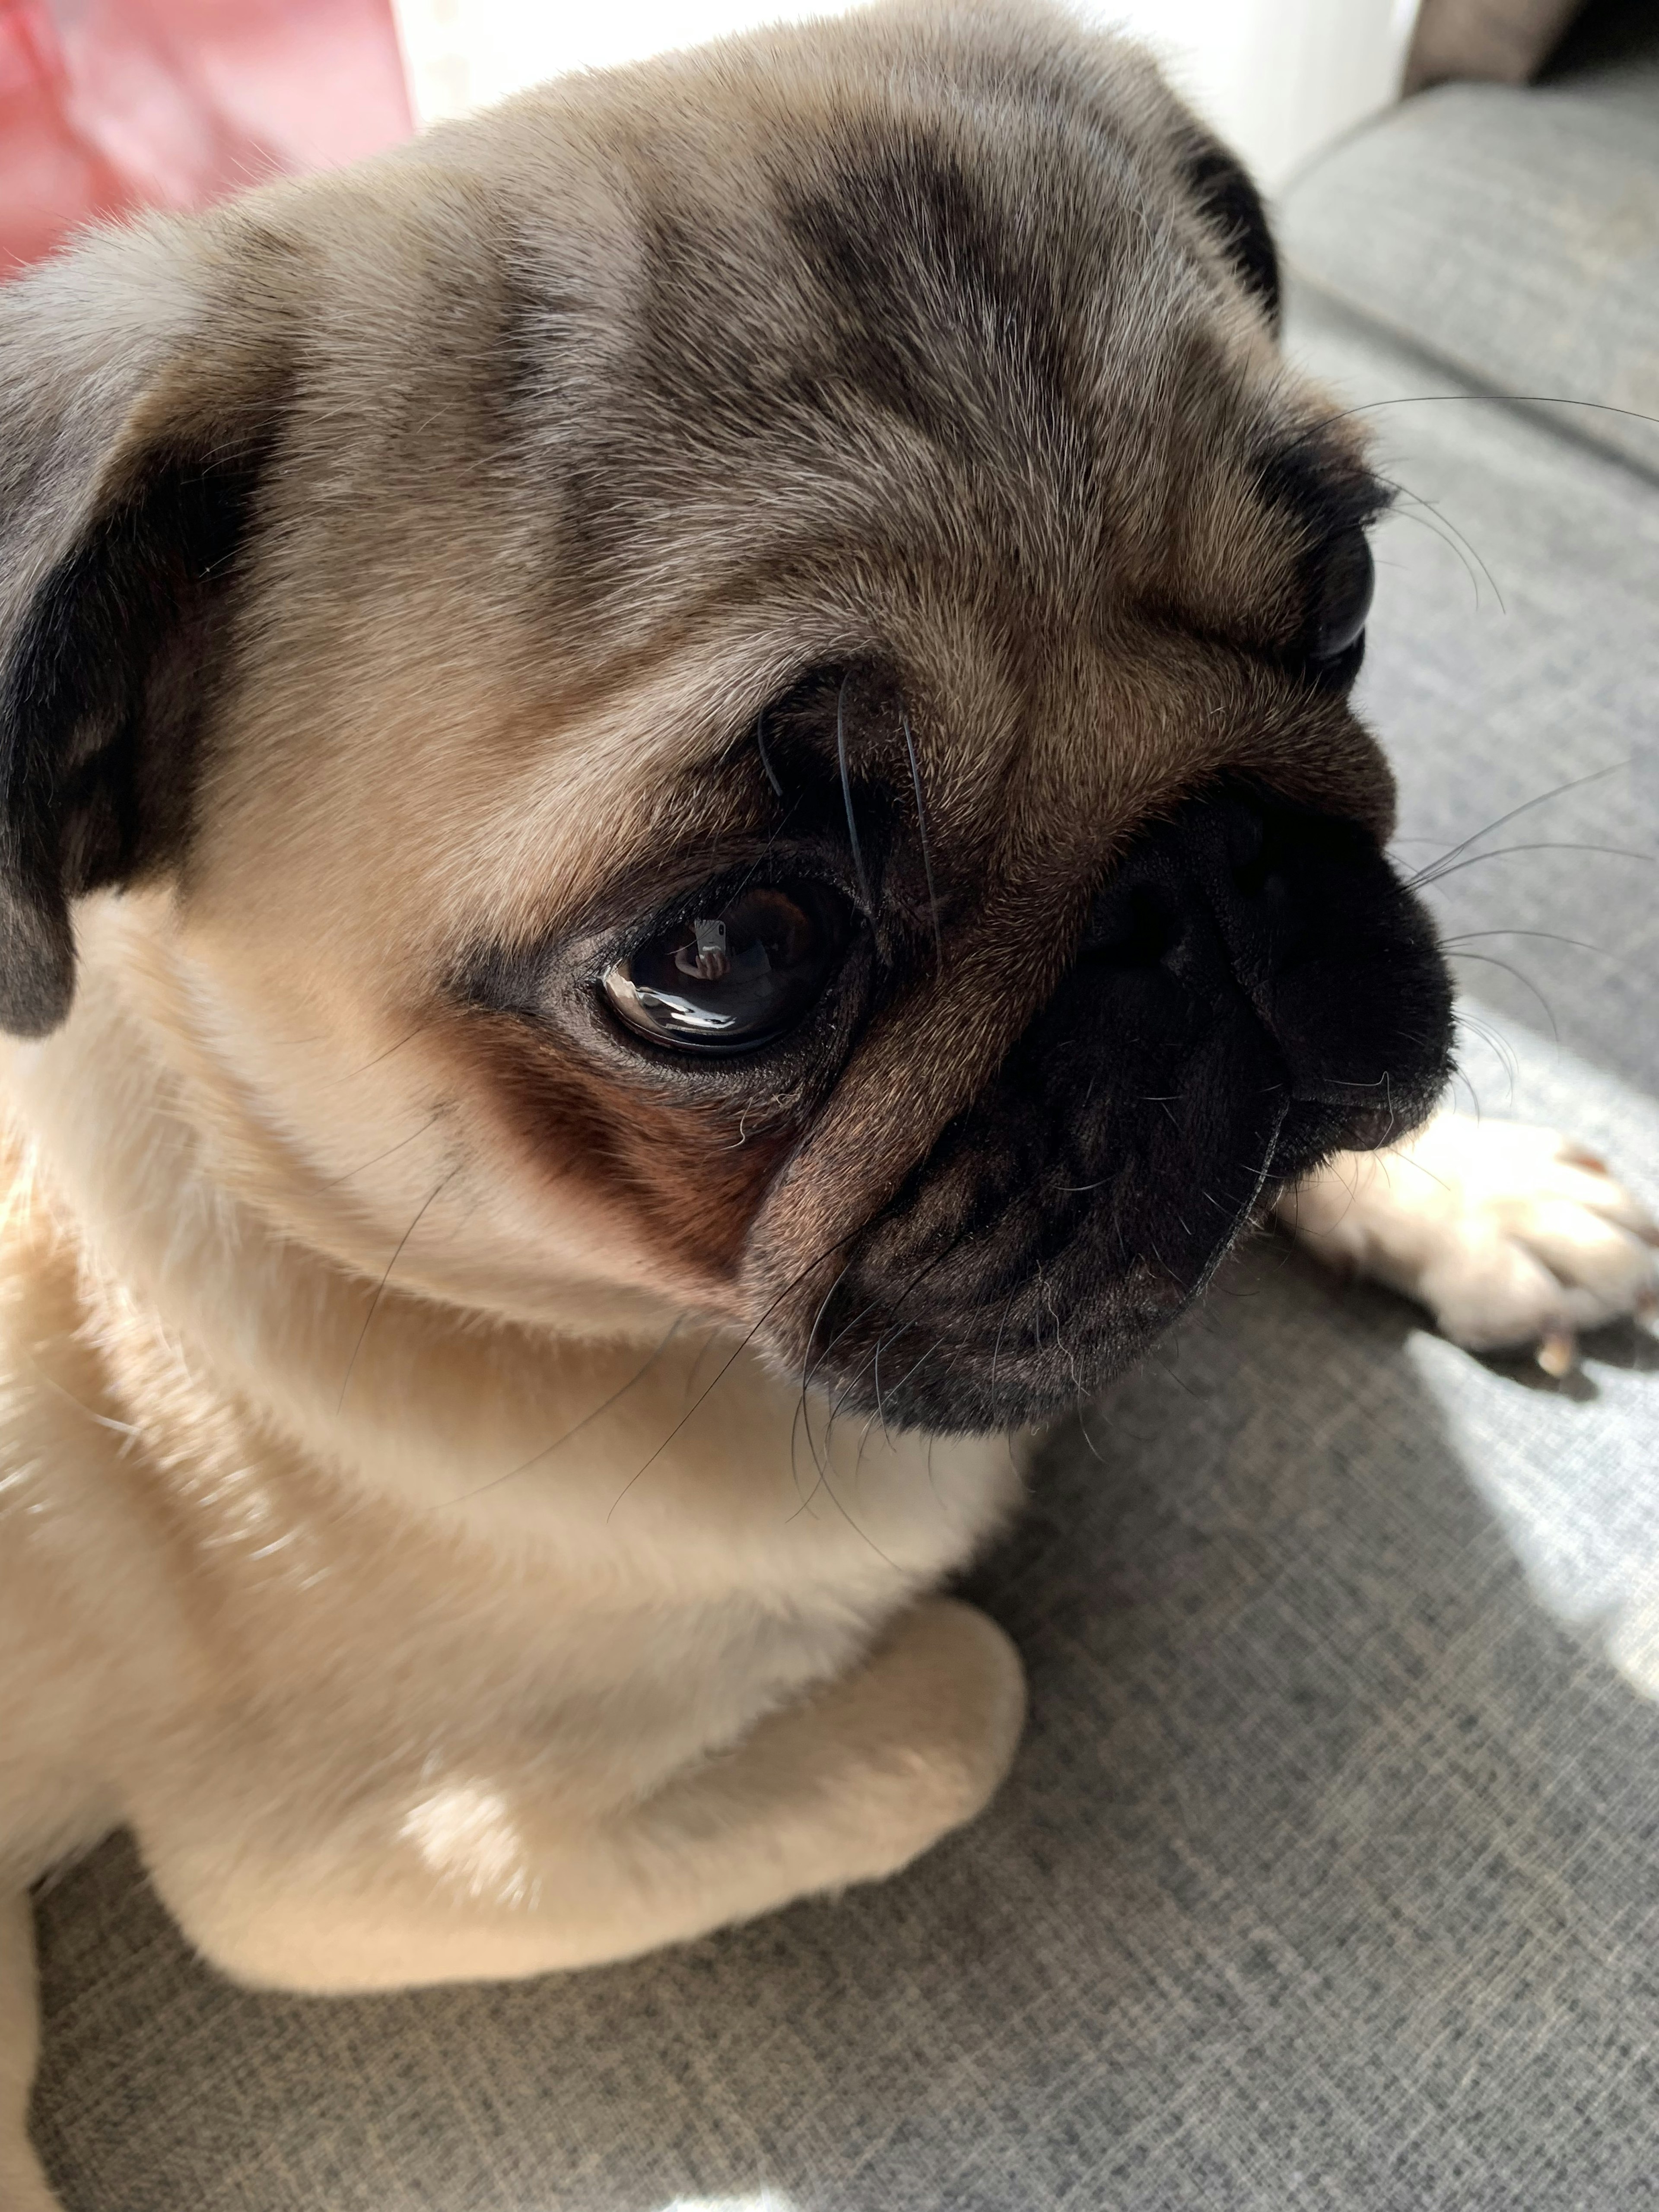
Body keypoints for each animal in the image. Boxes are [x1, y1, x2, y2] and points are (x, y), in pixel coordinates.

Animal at [3, 9, 1659, 2203]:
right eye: (723, 954)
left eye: (1349, 594)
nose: (1206, 876)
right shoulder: (362, 1860)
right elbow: (968, 1682)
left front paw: (1466, 1192)